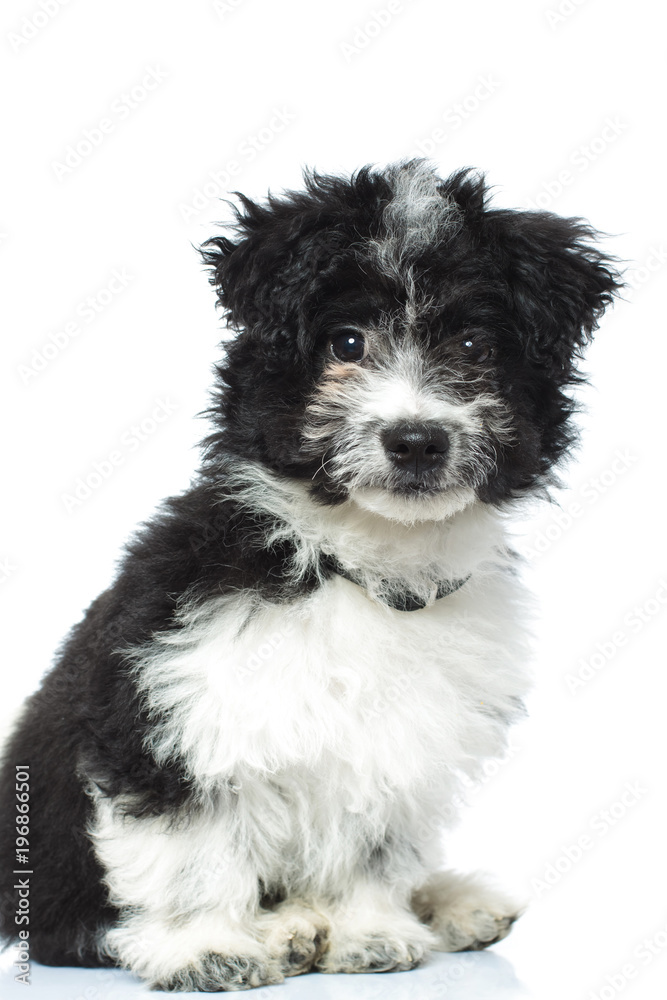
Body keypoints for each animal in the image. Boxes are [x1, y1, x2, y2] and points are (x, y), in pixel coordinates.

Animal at [0, 164, 620, 992]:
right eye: (345, 343)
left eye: (473, 344)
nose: (415, 440)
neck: (355, 565)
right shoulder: (168, 709)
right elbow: (190, 841)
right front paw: (205, 946)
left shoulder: (399, 738)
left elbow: (373, 844)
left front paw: (368, 929)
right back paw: (280, 928)